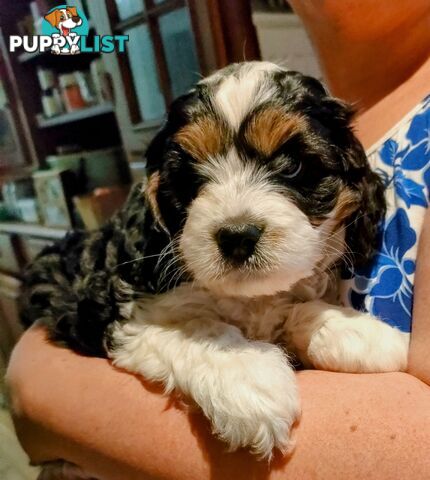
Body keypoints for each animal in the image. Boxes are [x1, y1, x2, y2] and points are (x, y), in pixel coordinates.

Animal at [21, 62, 410, 460]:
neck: (246, 297)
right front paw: (250, 379)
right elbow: (200, 327)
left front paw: (358, 331)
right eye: (191, 175)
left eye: (293, 166)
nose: (237, 235)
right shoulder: (111, 317)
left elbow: (294, 308)